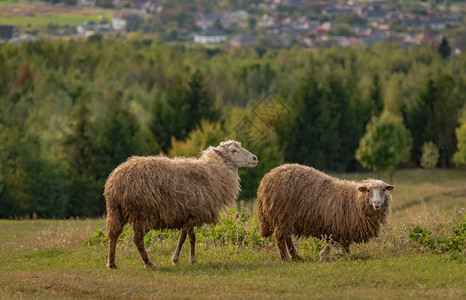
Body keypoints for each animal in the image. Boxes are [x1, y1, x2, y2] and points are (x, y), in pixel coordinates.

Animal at [104, 141, 258, 270]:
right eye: (233, 150)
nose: (255, 158)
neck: (215, 172)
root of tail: (116, 182)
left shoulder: (190, 213)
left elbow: (191, 238)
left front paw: (192, 259)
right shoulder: (190, 214)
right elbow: (183, 238)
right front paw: (176, 259)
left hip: (115, 210)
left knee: (113, 235)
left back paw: (112, 264)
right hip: (141, 213)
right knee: (137, 240)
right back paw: (148, 263)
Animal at [256, 163, 396, 262]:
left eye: (384, 189)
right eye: (368, 190)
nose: (377, 203)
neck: (355, 200)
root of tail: (267, 178)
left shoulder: (343, 229)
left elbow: (344, 245)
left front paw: (344, 256)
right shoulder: (339, 228)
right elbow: (335, 243)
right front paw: (325, 255)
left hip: (287, 219)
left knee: (287, 237)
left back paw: (295, 256)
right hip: (282, 215)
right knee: (280, 237)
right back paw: (285, 258)